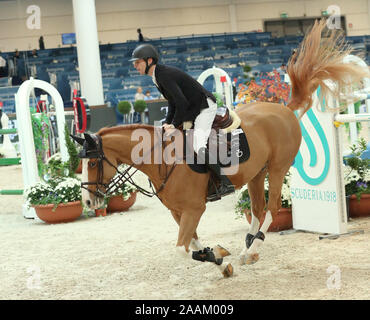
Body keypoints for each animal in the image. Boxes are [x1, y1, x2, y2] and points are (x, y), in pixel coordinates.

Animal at [72, 19, 368, 278]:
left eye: (94, 163)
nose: (88, 202)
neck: (161, 161)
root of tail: (283, 109)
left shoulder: (194, 209)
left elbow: (182, 249)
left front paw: (216, 256)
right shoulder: (177, 212)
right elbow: (192, 243)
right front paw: (218, 259)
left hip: (278, 167)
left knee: (272, 208)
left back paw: (252, 250)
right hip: (256, 173)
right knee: (258, 209)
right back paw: (248, 249)